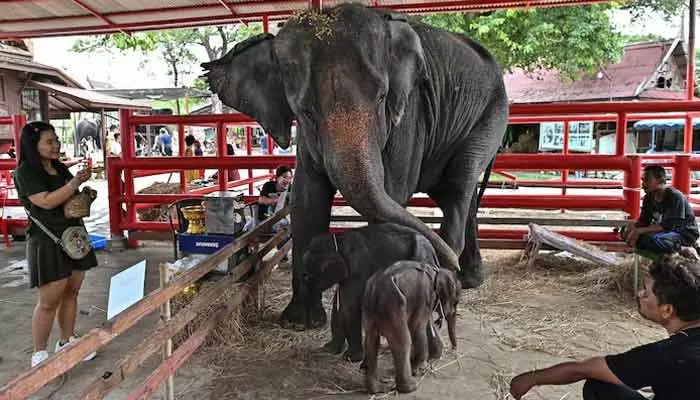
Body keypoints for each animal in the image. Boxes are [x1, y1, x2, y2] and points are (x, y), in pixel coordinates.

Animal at [202, 3, 508, 328]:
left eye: (382, 98)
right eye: (306, 112)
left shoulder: (410, 113)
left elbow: (391, 193)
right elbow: (306, 199)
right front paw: (300, 322)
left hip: (492, 116)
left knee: (459, 185)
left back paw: (449, 286)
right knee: (462, 196)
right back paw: (466, 279)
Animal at [300, 223, 438, 360]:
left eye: (307, 277)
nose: (313, 323)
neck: (338, 240)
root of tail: (432, 250)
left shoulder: (358, 267)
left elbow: (349, 306)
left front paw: (351, 357)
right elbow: (338, 304)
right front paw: (329, 349)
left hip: (420, 260)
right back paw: (433, 355)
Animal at [360, 260, 460, 394]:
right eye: (456, 302)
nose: (454, 348)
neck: (437, 270)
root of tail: (375, 291)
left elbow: (428, 324)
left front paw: (431, 359)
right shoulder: (424, 296)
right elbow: (418, 327)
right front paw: (418, 368)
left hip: (369, 308)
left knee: (371, 341)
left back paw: (377, 389)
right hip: (393, 306)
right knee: (403, 341)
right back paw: (411, 386)